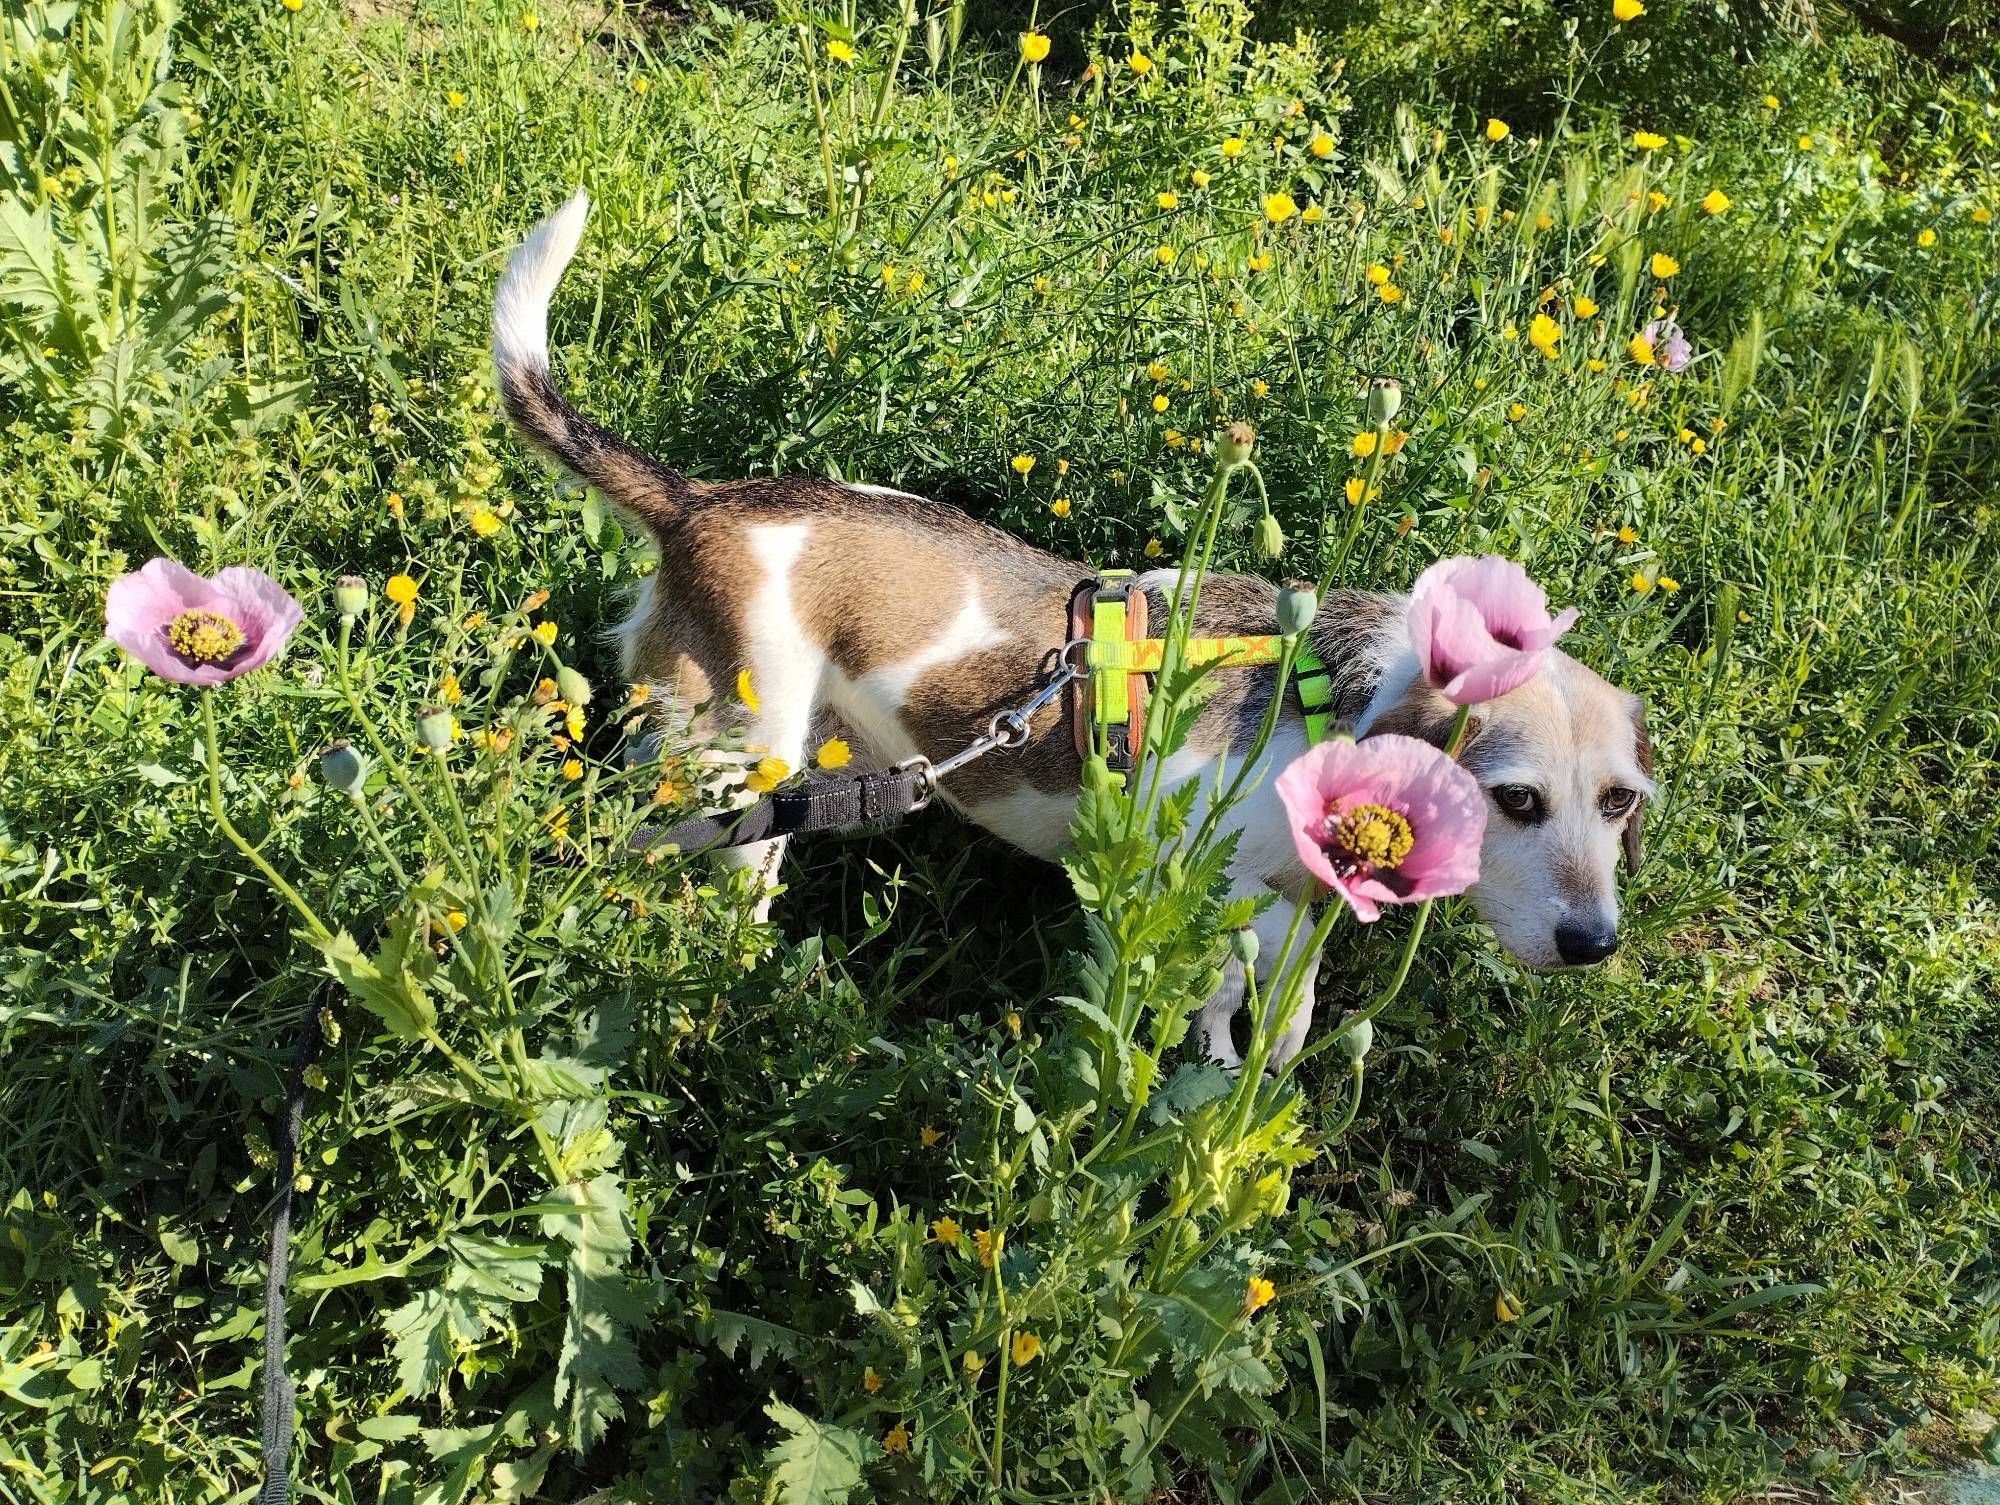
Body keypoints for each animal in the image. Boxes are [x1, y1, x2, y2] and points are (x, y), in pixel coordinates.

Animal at [488, 197, 1656, 1072]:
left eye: (1618, 802)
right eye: (1514, 800)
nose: (1593, 944)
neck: (1336, 702)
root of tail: (697, 503)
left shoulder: (1278, 911)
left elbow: (1281, 1000)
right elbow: (1215, 996)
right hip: (733, 776)